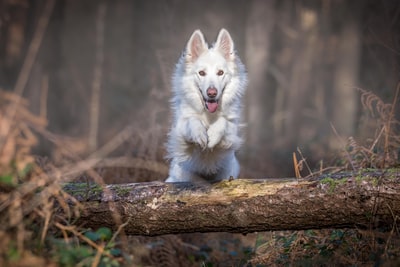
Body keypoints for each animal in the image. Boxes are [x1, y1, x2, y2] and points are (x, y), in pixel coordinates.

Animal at [165, 29, 247, 183]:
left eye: (220, 73)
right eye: (201, 73)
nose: (212, 93)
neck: (209, 115)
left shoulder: (231, 135)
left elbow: (223, 122)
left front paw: (213, 135)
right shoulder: (180, 131)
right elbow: (191, 120)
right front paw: (200, 134)